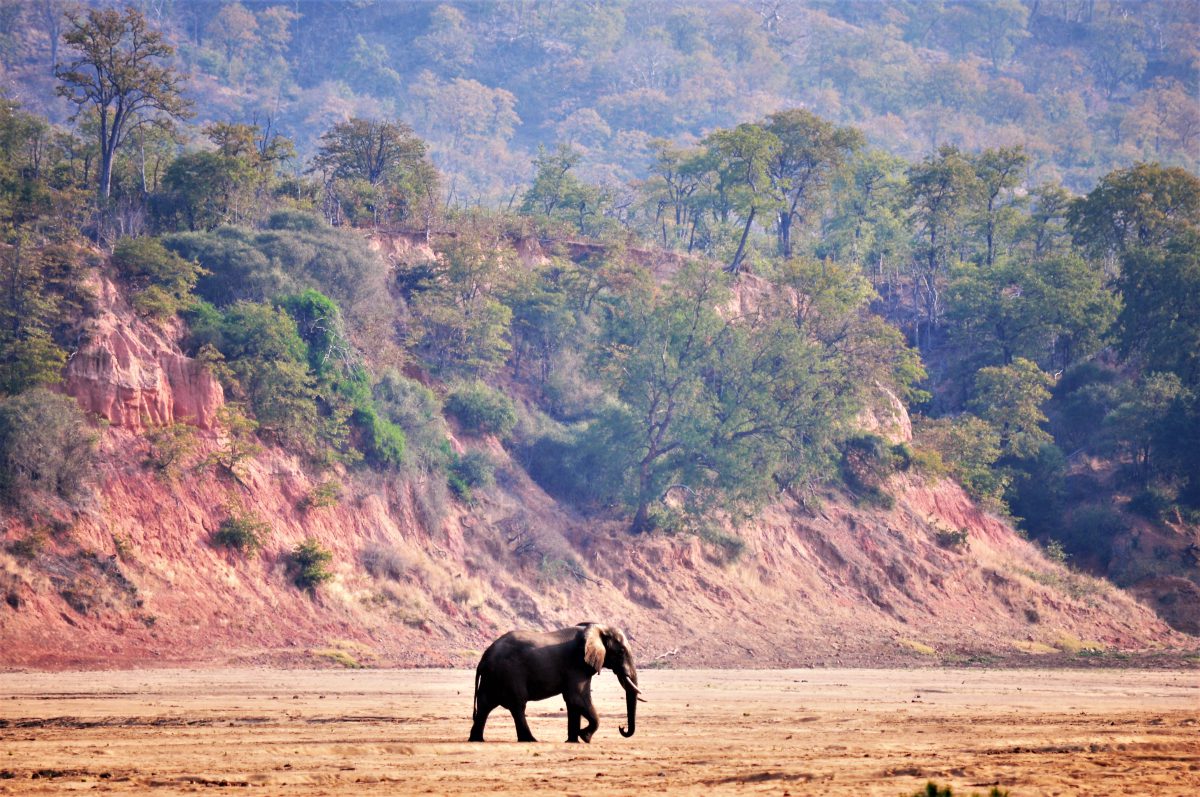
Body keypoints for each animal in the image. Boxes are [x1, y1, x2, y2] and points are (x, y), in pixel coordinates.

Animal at [465, 624, 643, 739]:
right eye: (621, 651)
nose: (621, 727)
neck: (596, 628)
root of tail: (484, 658)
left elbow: (573, 702)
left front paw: (573, 740)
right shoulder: (576, 665)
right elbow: (577, 698)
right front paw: (584, 736)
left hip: (492, 677)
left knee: (485, 705)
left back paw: (476, 740)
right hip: (509, 673)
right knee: (517, 705)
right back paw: (530, 740)